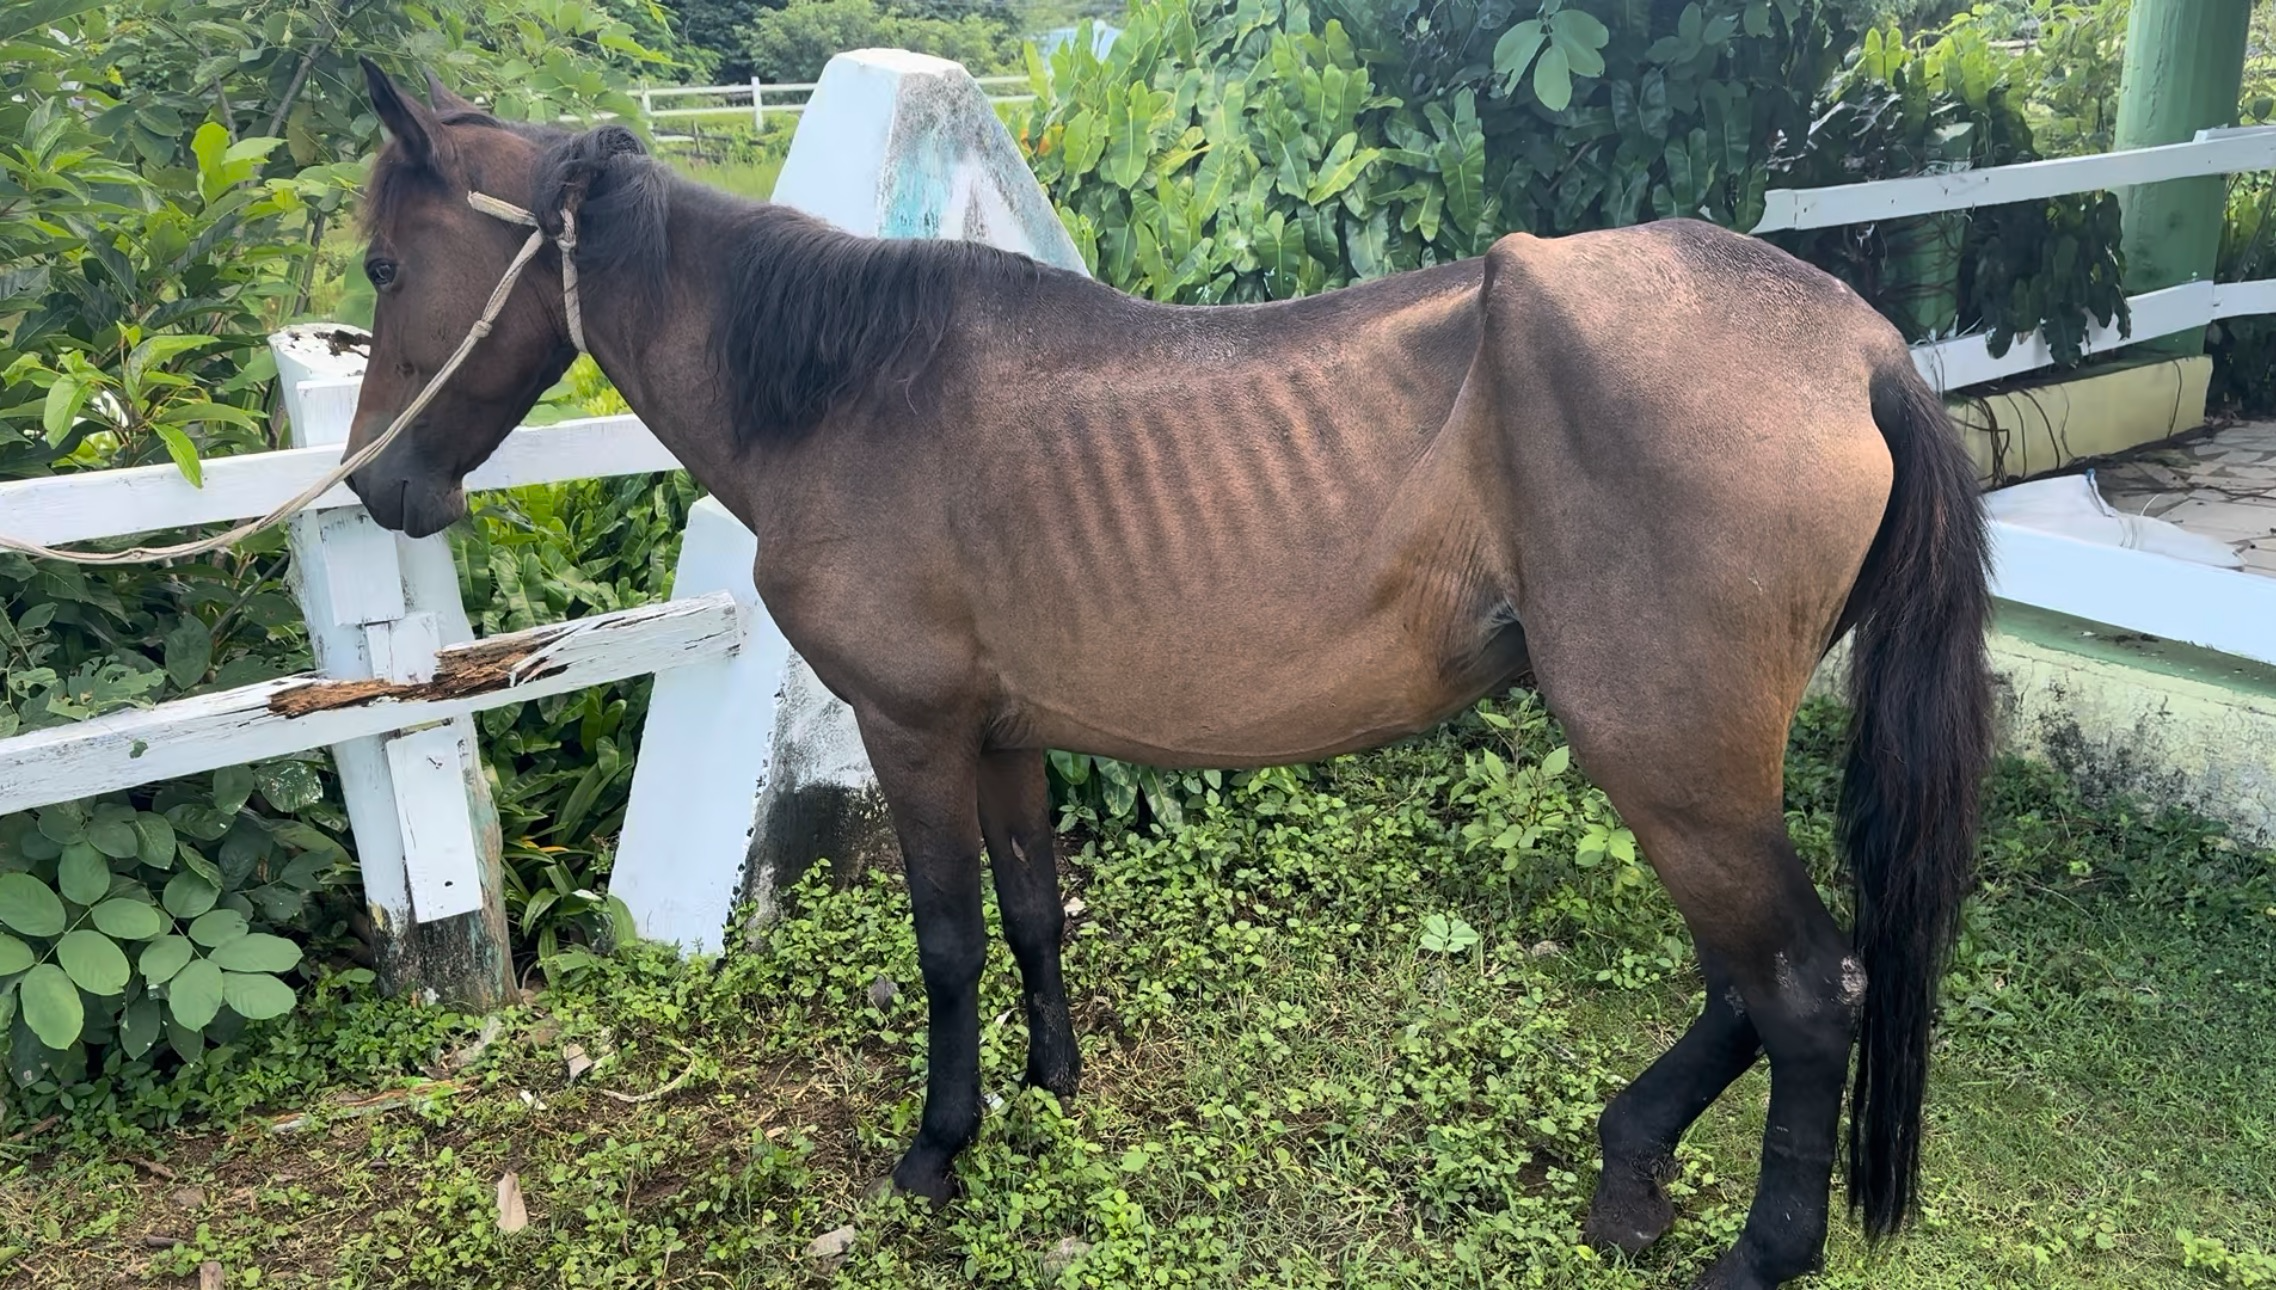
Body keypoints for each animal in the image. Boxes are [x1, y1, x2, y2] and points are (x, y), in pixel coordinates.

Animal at [345, 60, 1991, 1289]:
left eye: (382, 262)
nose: (374, 489)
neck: (847, 390)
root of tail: (1856, 349)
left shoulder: (910, 729)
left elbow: (946, 940)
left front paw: (939, 1145)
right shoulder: (1002, 733)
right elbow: (1030, 911)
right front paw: (1054, 1084)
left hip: (1667, 758)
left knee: (1805, 989)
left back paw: (1748, 1247)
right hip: (1690, 766)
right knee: (1747, 982)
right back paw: (1629, 1162)